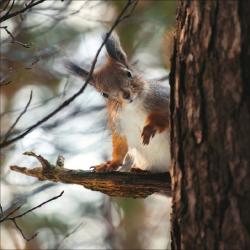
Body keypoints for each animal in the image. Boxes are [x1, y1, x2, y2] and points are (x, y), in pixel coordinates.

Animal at [66, 33, 170, 172]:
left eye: (129, 73)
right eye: (104, 94)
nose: (126, 95)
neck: (133, 108)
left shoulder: (164, 99)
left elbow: (165, 116)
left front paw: (150, 127)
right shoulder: (119, 125)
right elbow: (120, 146)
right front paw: (110, 164)